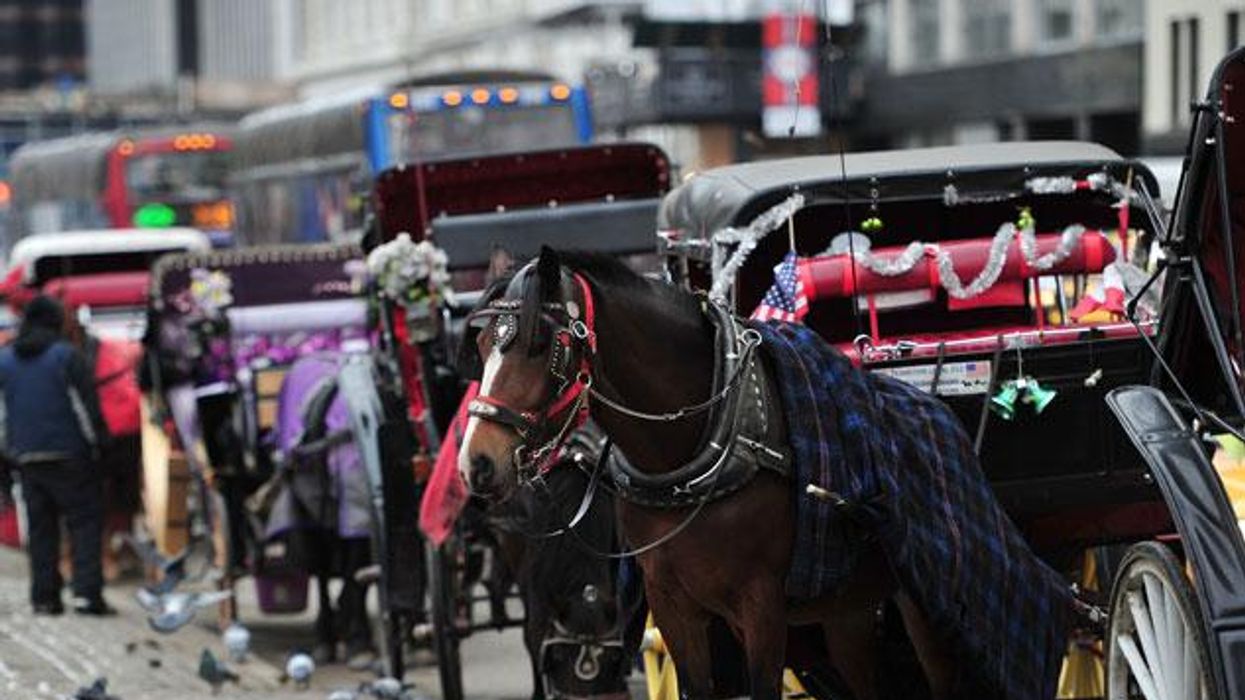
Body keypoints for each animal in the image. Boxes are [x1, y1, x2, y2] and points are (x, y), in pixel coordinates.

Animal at [456, 247, 1075, 700]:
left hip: (930, 607)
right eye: (481, 343)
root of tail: (943, 415)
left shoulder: (761, 607)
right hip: (846, 614)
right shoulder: (675, 606)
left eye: (542, 344)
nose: (476, 462)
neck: (689, 456)